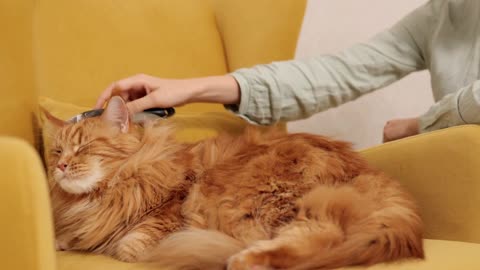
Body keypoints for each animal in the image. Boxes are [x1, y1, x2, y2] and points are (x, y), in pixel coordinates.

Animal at [43, 97, 422, 270]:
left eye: (85, 148)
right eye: (57, 151)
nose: (61, 166)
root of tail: (369, 172)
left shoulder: (170, 215)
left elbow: (128, 246)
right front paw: (64, 240)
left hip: (260, 200)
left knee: (322, 236)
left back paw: (243, 258)